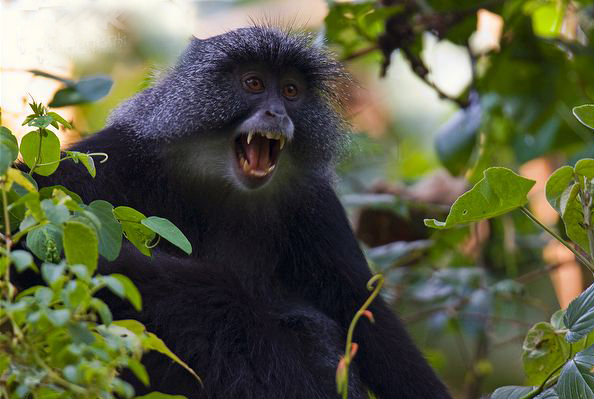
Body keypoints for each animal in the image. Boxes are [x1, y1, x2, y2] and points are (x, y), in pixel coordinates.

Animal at [28, 26, 448, 398]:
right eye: (254, 84)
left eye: (291, 91)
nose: (277, 113)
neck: (219, 182)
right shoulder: (119, 154)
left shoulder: (314, 201)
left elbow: (363, 312)